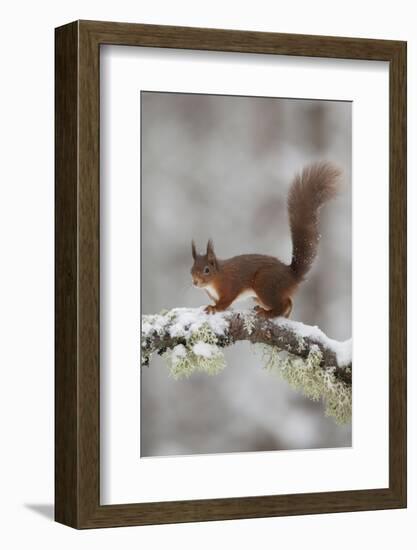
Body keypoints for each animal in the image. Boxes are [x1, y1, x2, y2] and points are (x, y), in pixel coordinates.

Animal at [190, 162, 340, 320]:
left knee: (283, 304)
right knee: (288, 301)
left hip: (265, 284)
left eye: (207, 270)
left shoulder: (229, 286)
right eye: (191, 270)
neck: (216, 277)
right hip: (260, 294)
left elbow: (225, 302)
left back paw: (268, 313)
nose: (195, 282)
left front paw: (214, 308)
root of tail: (291, 276)